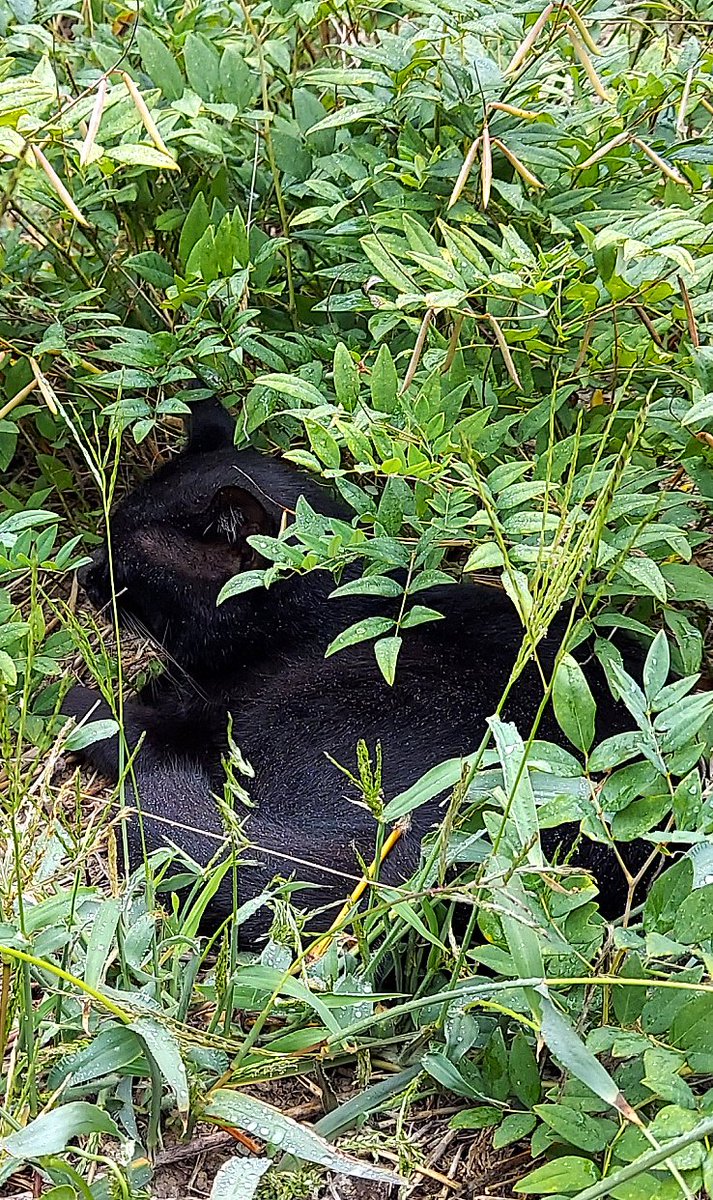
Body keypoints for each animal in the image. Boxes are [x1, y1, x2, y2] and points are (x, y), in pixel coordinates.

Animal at [63, 398, 648, 940]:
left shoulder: (211, 719)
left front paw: (84, 700)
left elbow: (129, 724)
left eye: (125, 560)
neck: (321, 609)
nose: (86, 577)